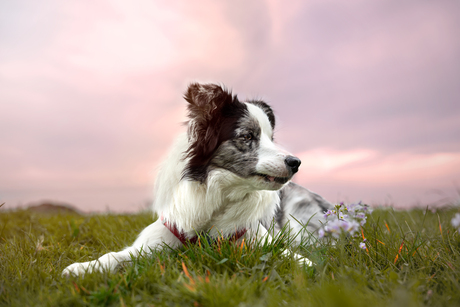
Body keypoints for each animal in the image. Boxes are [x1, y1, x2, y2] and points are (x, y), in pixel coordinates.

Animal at [63, 82, 332, 276]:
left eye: (271, 138)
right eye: (247, 136)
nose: (296, 162)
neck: (217, 196)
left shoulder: (258, 240)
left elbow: (292, 256)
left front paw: (311, 265)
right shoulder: (155, 240)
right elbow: (115, 255)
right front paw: (83, 267)